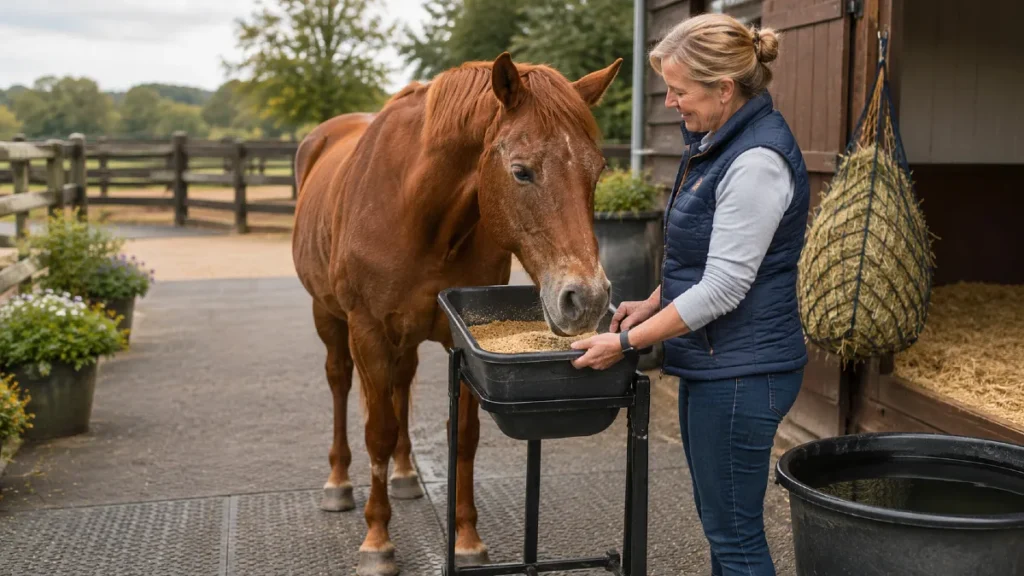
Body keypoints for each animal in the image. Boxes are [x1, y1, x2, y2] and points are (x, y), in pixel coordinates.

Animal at [291, 52, 622, 576]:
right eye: (521, 172)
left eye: (598, 170)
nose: (585, 298)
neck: (418, 212)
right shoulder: (367, 332)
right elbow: (378, 432)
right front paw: (377, 541)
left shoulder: (458, 339)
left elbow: (463, 437)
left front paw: (467, 540)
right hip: (328, 316)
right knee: (340, 382)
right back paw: (339, 482)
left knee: (401, 384)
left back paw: (407, 475)